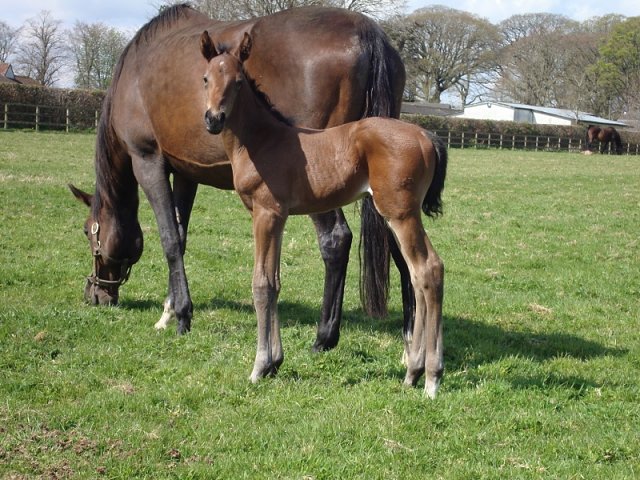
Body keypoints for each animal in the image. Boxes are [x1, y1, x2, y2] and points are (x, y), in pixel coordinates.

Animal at [69, 1, 410, 350]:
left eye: (87, 232)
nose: (94, 294)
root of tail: (367, 34)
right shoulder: (187, 173)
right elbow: (181, 235)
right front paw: (169, 310)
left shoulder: (148, 161)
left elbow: (169, 239)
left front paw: (181, 314)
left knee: (336, 240)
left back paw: (325, 337)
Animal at [202, 31, 448, 398]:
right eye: (206, 78)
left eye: (238, 82)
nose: (213, 119)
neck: (262, 141)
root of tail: (425, 135)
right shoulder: (280, 217)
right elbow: (275, 282)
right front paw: (275, 362)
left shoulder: (266, 213)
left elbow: (261, 284)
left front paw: (259, 367)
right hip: (400, 214)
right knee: (419, 275)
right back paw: (413, 372)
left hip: (400, 213)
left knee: (428, 269)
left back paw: (431, 378)